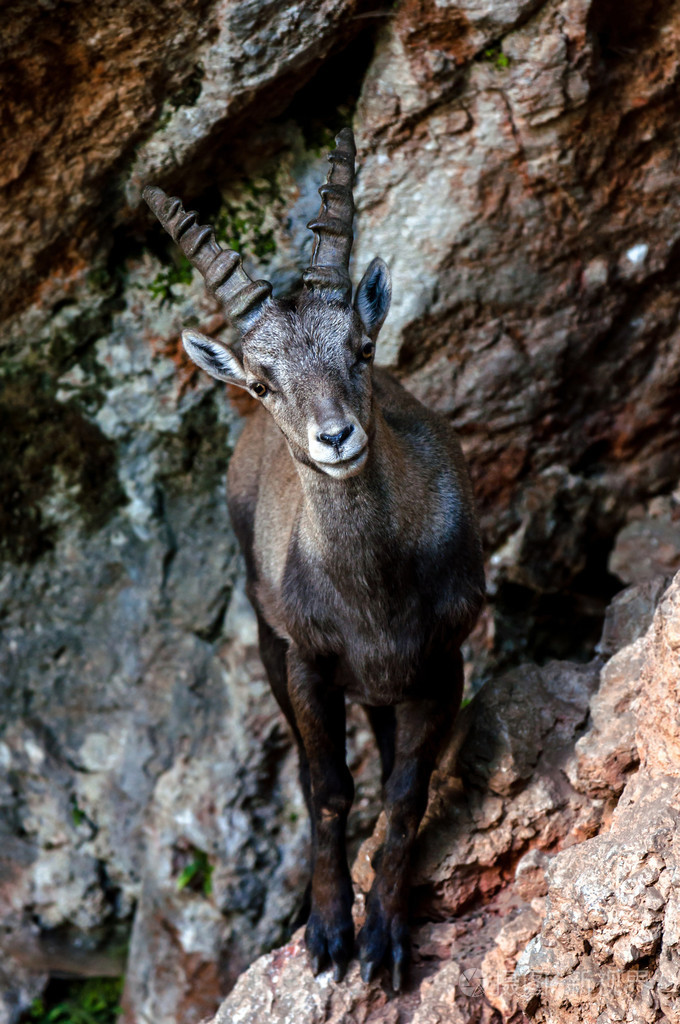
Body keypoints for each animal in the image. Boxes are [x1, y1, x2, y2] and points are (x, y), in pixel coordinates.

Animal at [143, 125, 483, 983]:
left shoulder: (441, 659)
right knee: (306, 770)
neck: (371, 592)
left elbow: (404, 792)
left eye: (361, 348)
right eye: (264, 382)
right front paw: (330, 931)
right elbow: (327, 788)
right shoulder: (307, 663)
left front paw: (386, 937)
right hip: (269, 639)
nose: (336, 438)